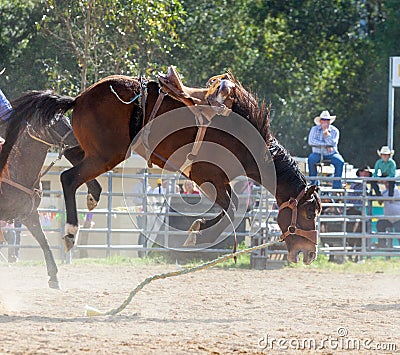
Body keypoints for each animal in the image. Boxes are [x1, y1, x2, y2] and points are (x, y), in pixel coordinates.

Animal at [0, 69, 320, 264]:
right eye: (309, 212)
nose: (310, 253)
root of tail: (79, 98)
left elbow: (230, 206)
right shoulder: (208, 176)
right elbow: (231, 207)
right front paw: (195, 231)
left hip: (96, 151)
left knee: (70, 153)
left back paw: (93, 194)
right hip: (107, 155)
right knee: (68, 178)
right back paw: (70, 232)